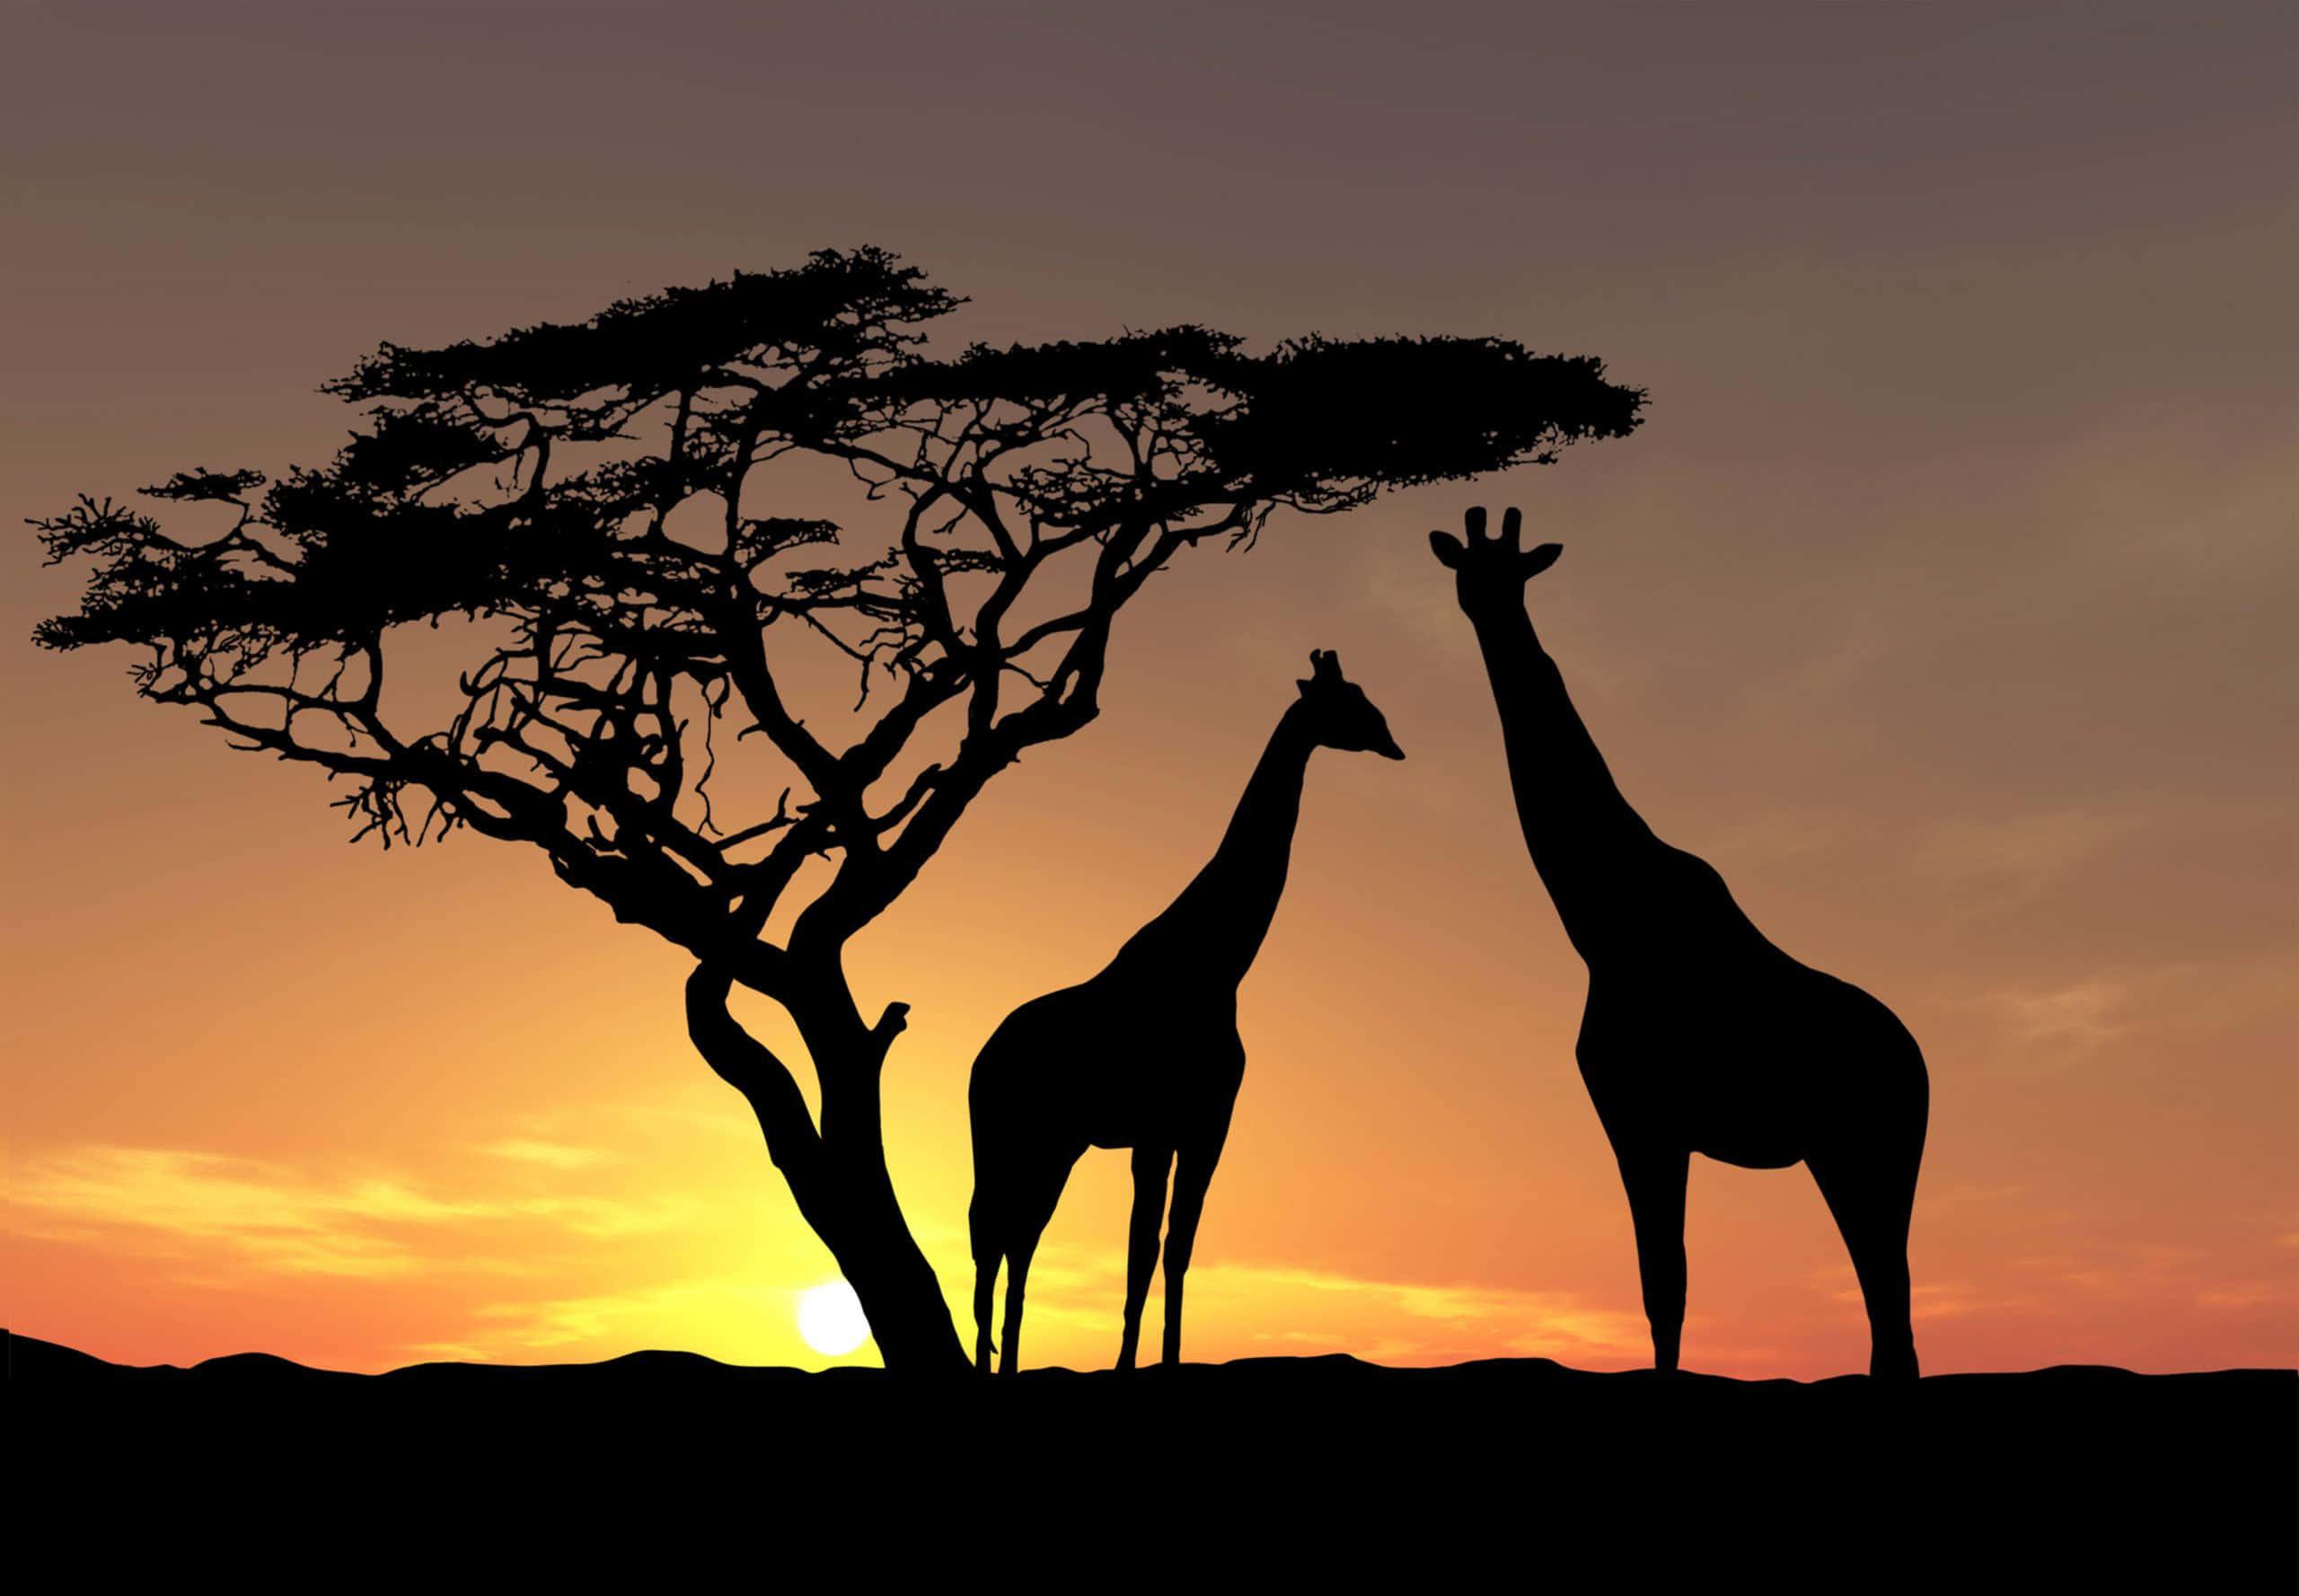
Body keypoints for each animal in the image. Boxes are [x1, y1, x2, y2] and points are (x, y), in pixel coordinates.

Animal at [967, 650, 1405, 1374]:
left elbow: (1177, 1247)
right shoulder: (1157, 1127)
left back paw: (1002, 1359)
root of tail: (981, 1059)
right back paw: (990, 1362)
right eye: (1348, 702)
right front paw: (1125, 1365)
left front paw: (1167, 1360)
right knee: (995, 1230)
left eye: (1368, 698)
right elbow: (1142, 1247)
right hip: (1013, 1134)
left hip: (1055, 1143)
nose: (1394, 742)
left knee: (1015, 1233)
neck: (1218, 964)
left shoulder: (1204, 1124)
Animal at [1431, 505, 1928, 1379]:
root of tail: (1924, 1070)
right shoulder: (1643, 1118)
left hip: (1868, 1150)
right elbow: (1664, 1287)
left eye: (1515, 572)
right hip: (1852, 1156)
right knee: (1888, 1312)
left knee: (1889, 1306)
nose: (1488, 610)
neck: (1603, 922)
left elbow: (1665, 1285)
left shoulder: (1643, 1114)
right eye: (1468, 570)